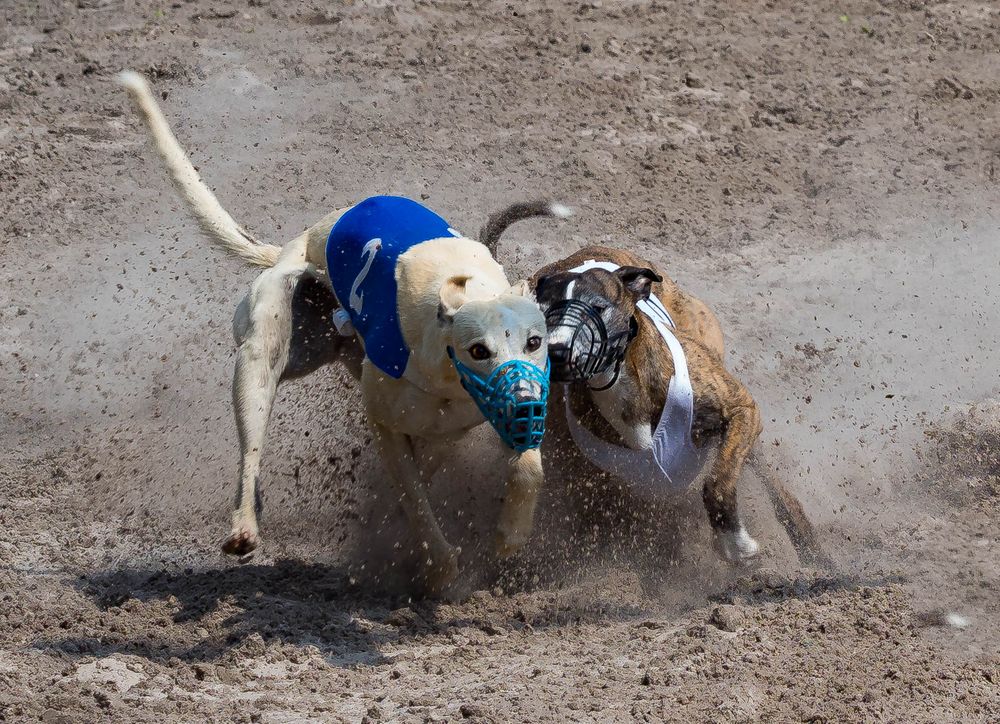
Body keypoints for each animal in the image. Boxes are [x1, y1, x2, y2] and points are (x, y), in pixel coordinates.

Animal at [122, 72, 556, 592]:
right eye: (477, 350)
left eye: (535, 343)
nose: (525, 403)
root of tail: (293, 246)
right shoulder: (386, 426)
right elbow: (415, 502)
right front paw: (440, 571)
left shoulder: (477, 419)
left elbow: (524, 467)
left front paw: (511, 535)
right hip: (261, 360)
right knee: (251, 445)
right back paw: (245, 521)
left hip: (327, 351)